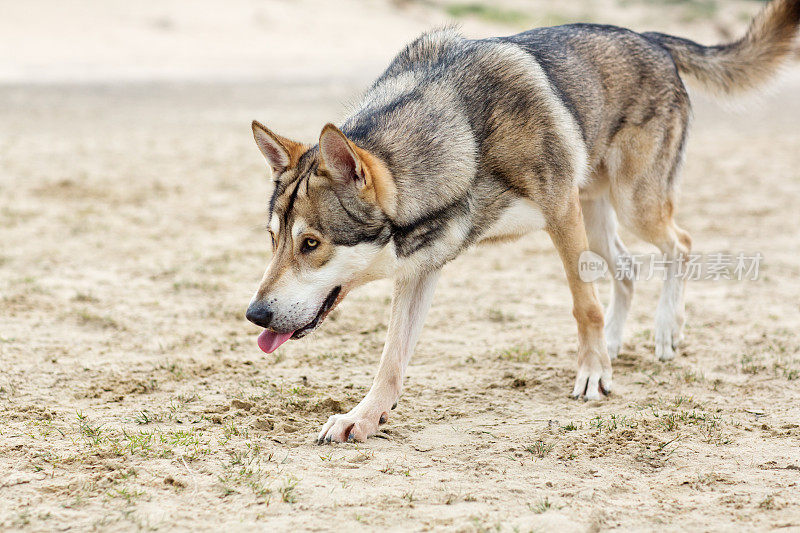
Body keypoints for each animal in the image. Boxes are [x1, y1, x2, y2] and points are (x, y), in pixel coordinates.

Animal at [245, 0, 800, 442]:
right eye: (274, 240)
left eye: (311, 244)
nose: (255, 315)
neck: (463, 138)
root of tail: (651, 38)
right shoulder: (421, 268)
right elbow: (391, 360)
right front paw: (362, 417)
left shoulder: (559, 213)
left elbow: (583, 306)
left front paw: (592, 375)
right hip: (598, 220)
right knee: (627, 269)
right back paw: (617, 344)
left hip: (632, 207)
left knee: (679, 244)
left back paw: (665, 331)